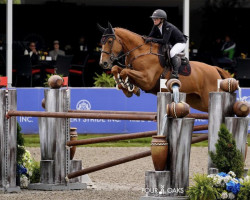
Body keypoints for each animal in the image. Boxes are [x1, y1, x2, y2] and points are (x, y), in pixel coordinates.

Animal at [97, 23, 230, 112]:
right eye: (101, 42)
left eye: (109, 41)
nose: (103, 63)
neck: (140, 51)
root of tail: (215, 68)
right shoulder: (135, 72)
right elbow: (117, 69)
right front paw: (126, 87)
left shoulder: (147, 80)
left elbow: (124, 71)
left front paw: (130, 88)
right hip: (198, 102)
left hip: (208, 97)